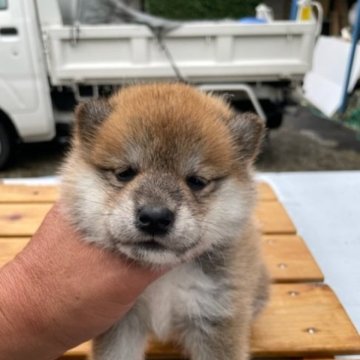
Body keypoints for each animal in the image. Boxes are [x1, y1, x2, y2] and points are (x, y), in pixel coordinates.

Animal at [60, 82, 268, 360]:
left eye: (196, 181)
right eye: (125, 173)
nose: (154, 217)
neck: (162, 279)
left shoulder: (215, 316)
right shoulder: (120, 323)